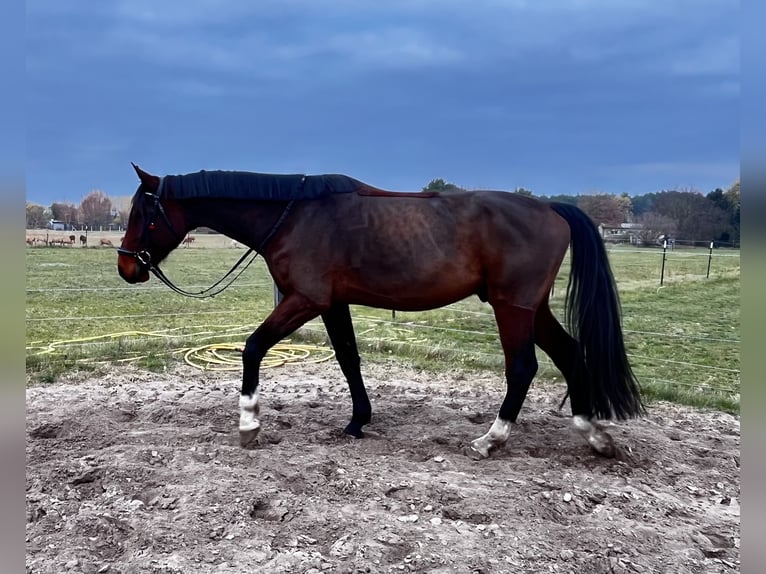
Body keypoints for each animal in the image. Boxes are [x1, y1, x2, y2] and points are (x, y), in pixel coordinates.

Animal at [118, 164, 644, 459]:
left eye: (143, 214)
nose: (126, 266)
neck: (296, 216)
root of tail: (553, 209)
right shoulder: (333, 304)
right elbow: (349, 359)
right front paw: (358, 420)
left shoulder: (305, 301)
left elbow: (251, 349)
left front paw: (249, 424)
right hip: (531, 309)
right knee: (570, 354)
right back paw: (593, 434)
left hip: (511, 308)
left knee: (522, 368)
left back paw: (492, 440)